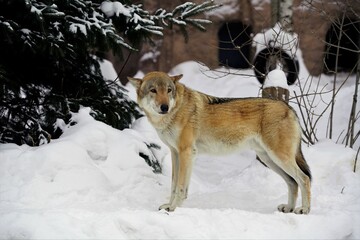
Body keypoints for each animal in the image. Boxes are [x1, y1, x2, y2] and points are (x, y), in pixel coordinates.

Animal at [129, 71, 312, 214]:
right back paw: (288, 208)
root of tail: (289, 108)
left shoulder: (186, 152)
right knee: (292, 182)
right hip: (268, 159)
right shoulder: (176, 153)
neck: (174, 112)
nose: (164, 107)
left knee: (304, 179)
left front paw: (173, 209)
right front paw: (169, 205)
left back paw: (304, 210)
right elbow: (174, 185)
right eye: (153, 90)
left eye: (168, 90)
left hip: (279, 157)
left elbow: (180, 187)